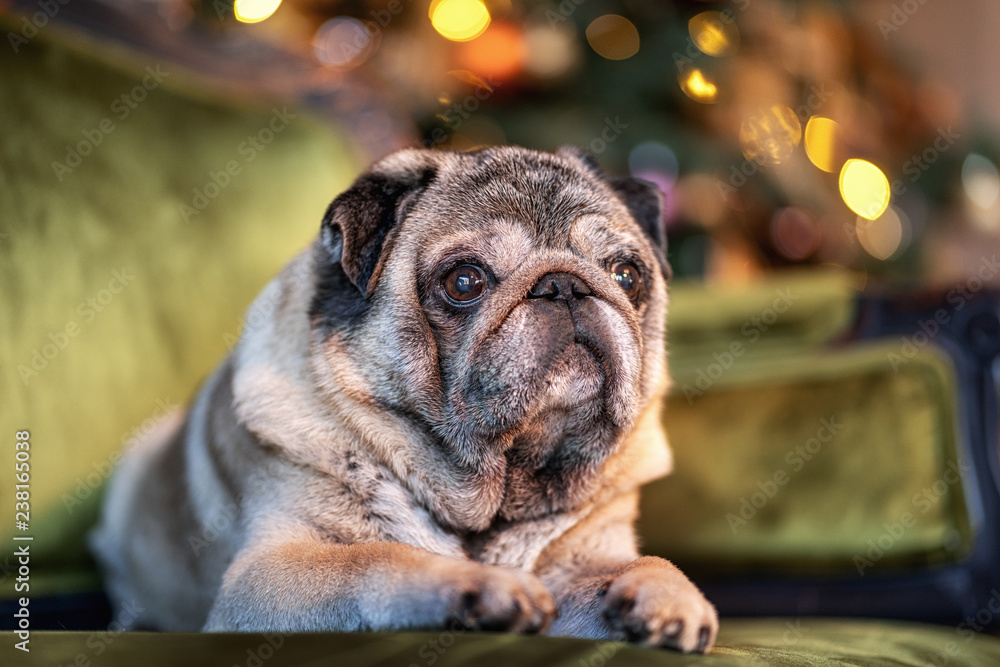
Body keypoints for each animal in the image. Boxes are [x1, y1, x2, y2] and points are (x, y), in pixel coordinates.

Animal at [92, 145, 720, 652]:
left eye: (628, 275)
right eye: (464, 282)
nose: (564, 284)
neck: (491, 493)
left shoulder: (583, 561)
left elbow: (644, 562)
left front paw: (670, 596)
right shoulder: (264, 578)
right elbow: (376, 558)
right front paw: (477, 587)